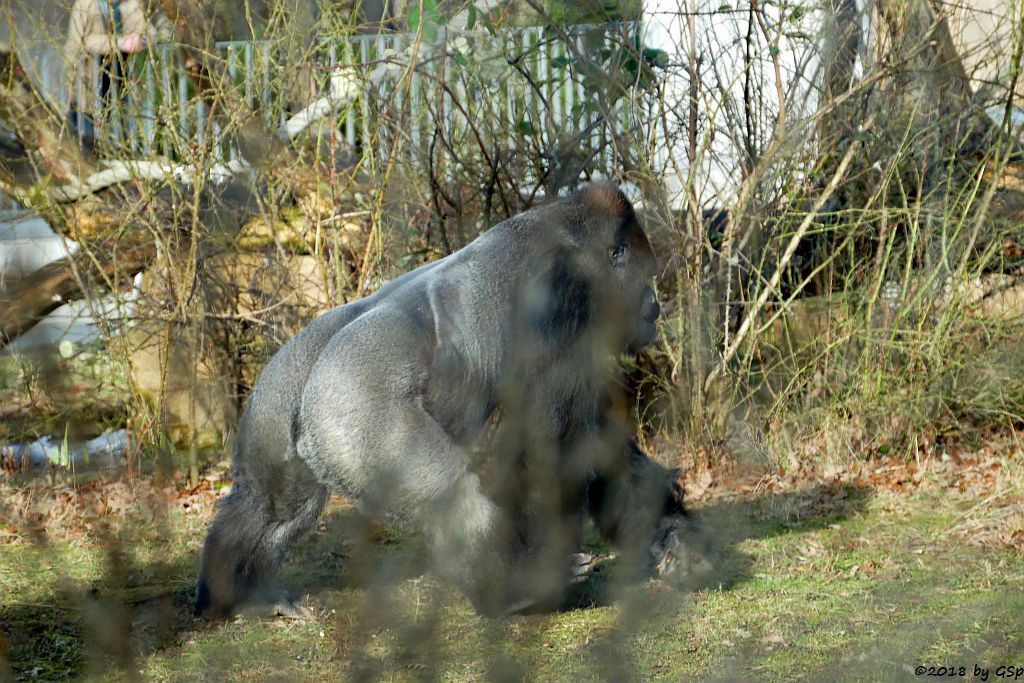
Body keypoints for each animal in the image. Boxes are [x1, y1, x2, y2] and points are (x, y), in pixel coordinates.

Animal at [195, 183, 708, 618]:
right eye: (646, 276)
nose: (654, 308)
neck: (569, 231)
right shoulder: (561, 302)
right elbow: (554, 446)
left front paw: (674, 542)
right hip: (356, 411)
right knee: (452, 494)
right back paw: (515, 590)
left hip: (277, 399)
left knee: (272, 506)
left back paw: (244, 595)